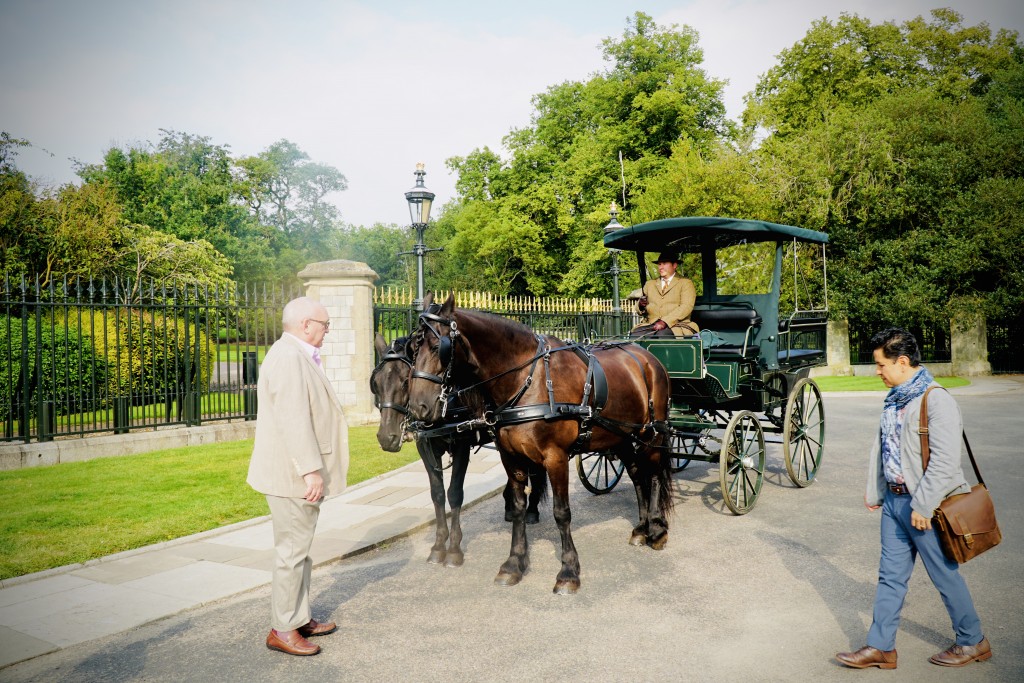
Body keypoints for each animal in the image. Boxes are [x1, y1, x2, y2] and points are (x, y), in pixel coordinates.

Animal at [368, 327, 544, 569]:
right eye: (375, 383)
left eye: (405, 381)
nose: (386, 437)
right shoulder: (426, 446)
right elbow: (437, 494)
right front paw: (438, 546)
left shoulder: (461, 445)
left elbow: (454, 493)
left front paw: (453, 549)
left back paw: (532, 510)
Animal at [403, 296, 675, 593]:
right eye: (413, 348)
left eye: (437, 346)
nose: (418, 407)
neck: (526, 380)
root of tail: (649, 358)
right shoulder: (511, 458)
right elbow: (518, 508)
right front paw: (514, 563)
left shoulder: (555, 458)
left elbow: (561, 512)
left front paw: (568, 570)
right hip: (624, 436)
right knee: (638, 476)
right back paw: (641, 528)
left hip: (652, 434)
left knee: (655, 475)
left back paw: (657, 530)